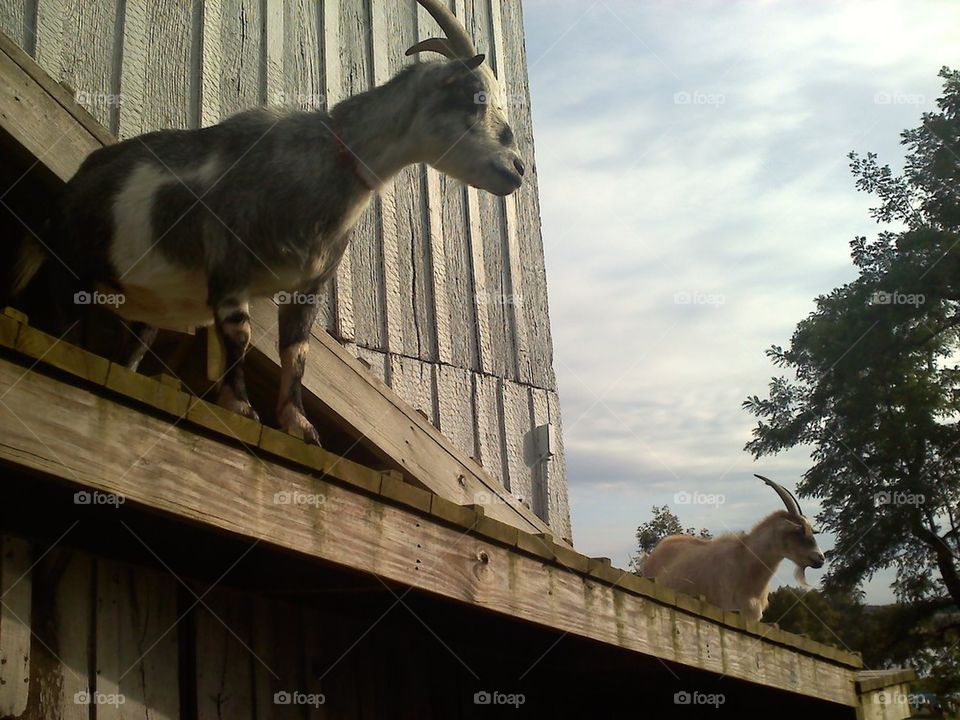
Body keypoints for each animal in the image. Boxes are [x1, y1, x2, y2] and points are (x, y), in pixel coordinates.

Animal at [5, 0, 523, 445]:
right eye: (475, 96)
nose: (517, 169)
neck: (322, 167)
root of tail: (69, 191)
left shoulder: (309, 286)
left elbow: (297, 351)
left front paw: (300, 426)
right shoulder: (228, 263)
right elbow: (241, 333)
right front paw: (241, 407)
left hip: (141, 305)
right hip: (69, 269)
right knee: (60, 314)